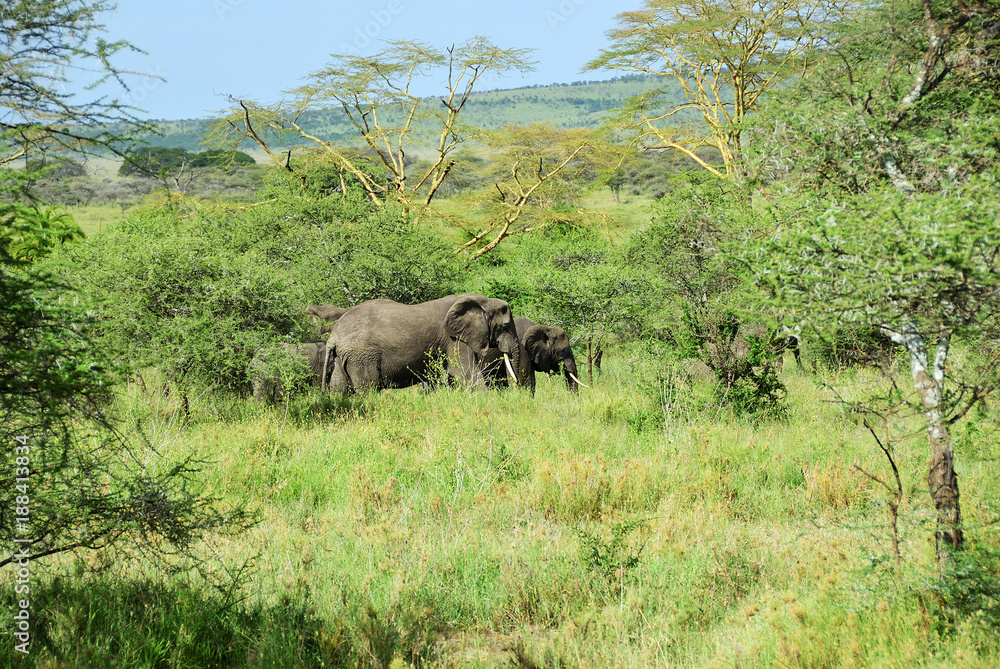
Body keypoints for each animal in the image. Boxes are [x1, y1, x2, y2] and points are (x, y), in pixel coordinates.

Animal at [325, 294, 523, 393]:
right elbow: (466, 373)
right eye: (504, 327)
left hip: (343, 357)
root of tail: (334, 335)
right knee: (368, 389)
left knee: (338, 388)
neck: (483, 301)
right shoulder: (454, 339)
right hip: (362, 356)